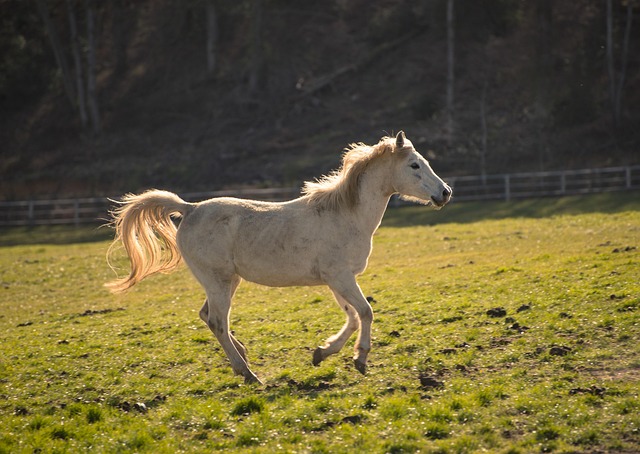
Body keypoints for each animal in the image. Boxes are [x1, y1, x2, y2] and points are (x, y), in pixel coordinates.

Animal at [106, 131, 451, 384]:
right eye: (415, 165)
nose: (445, 193)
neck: (346, 215)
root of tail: (189, 209)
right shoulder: (340, 277)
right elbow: (365, 312)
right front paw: (360, 359)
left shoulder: (335, 280)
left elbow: (353, 317)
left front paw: (322, 353)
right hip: (218, 281)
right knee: (217, 321)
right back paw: (248, 374)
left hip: (226, 281)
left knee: (209, 317)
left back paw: (243, 357)